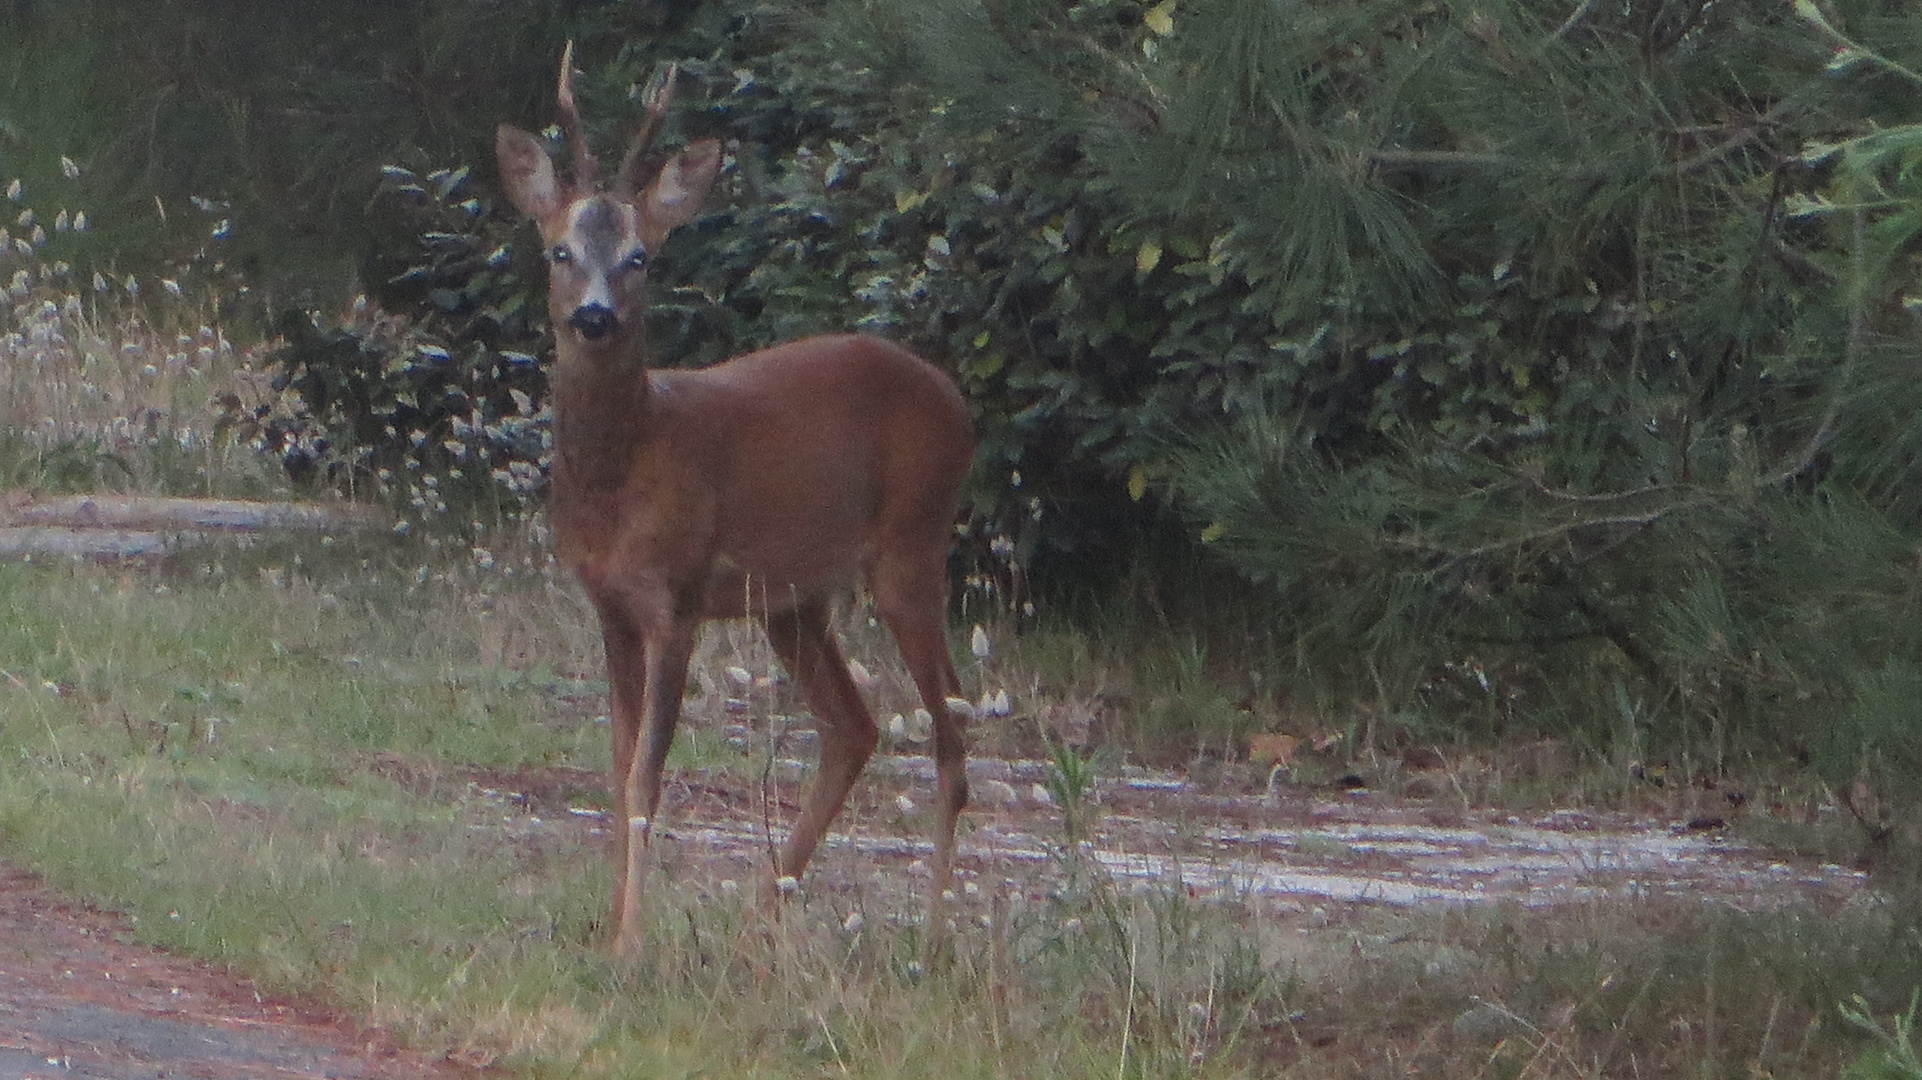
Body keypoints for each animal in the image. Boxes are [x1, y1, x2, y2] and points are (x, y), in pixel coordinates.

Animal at [495, 48, 976, 957]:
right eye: (559, 250)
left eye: (641, 257)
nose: (595, 317)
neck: (628, 468)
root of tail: (957, 400)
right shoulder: (609, 605)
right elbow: (616, 768)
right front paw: (611, 922)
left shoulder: (677, 598)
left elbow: (648, 776)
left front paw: (630, 942)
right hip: (792, 600)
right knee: (853, 727)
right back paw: (762, 911)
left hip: (913, 545)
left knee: (952, 733)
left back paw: (933, 935)